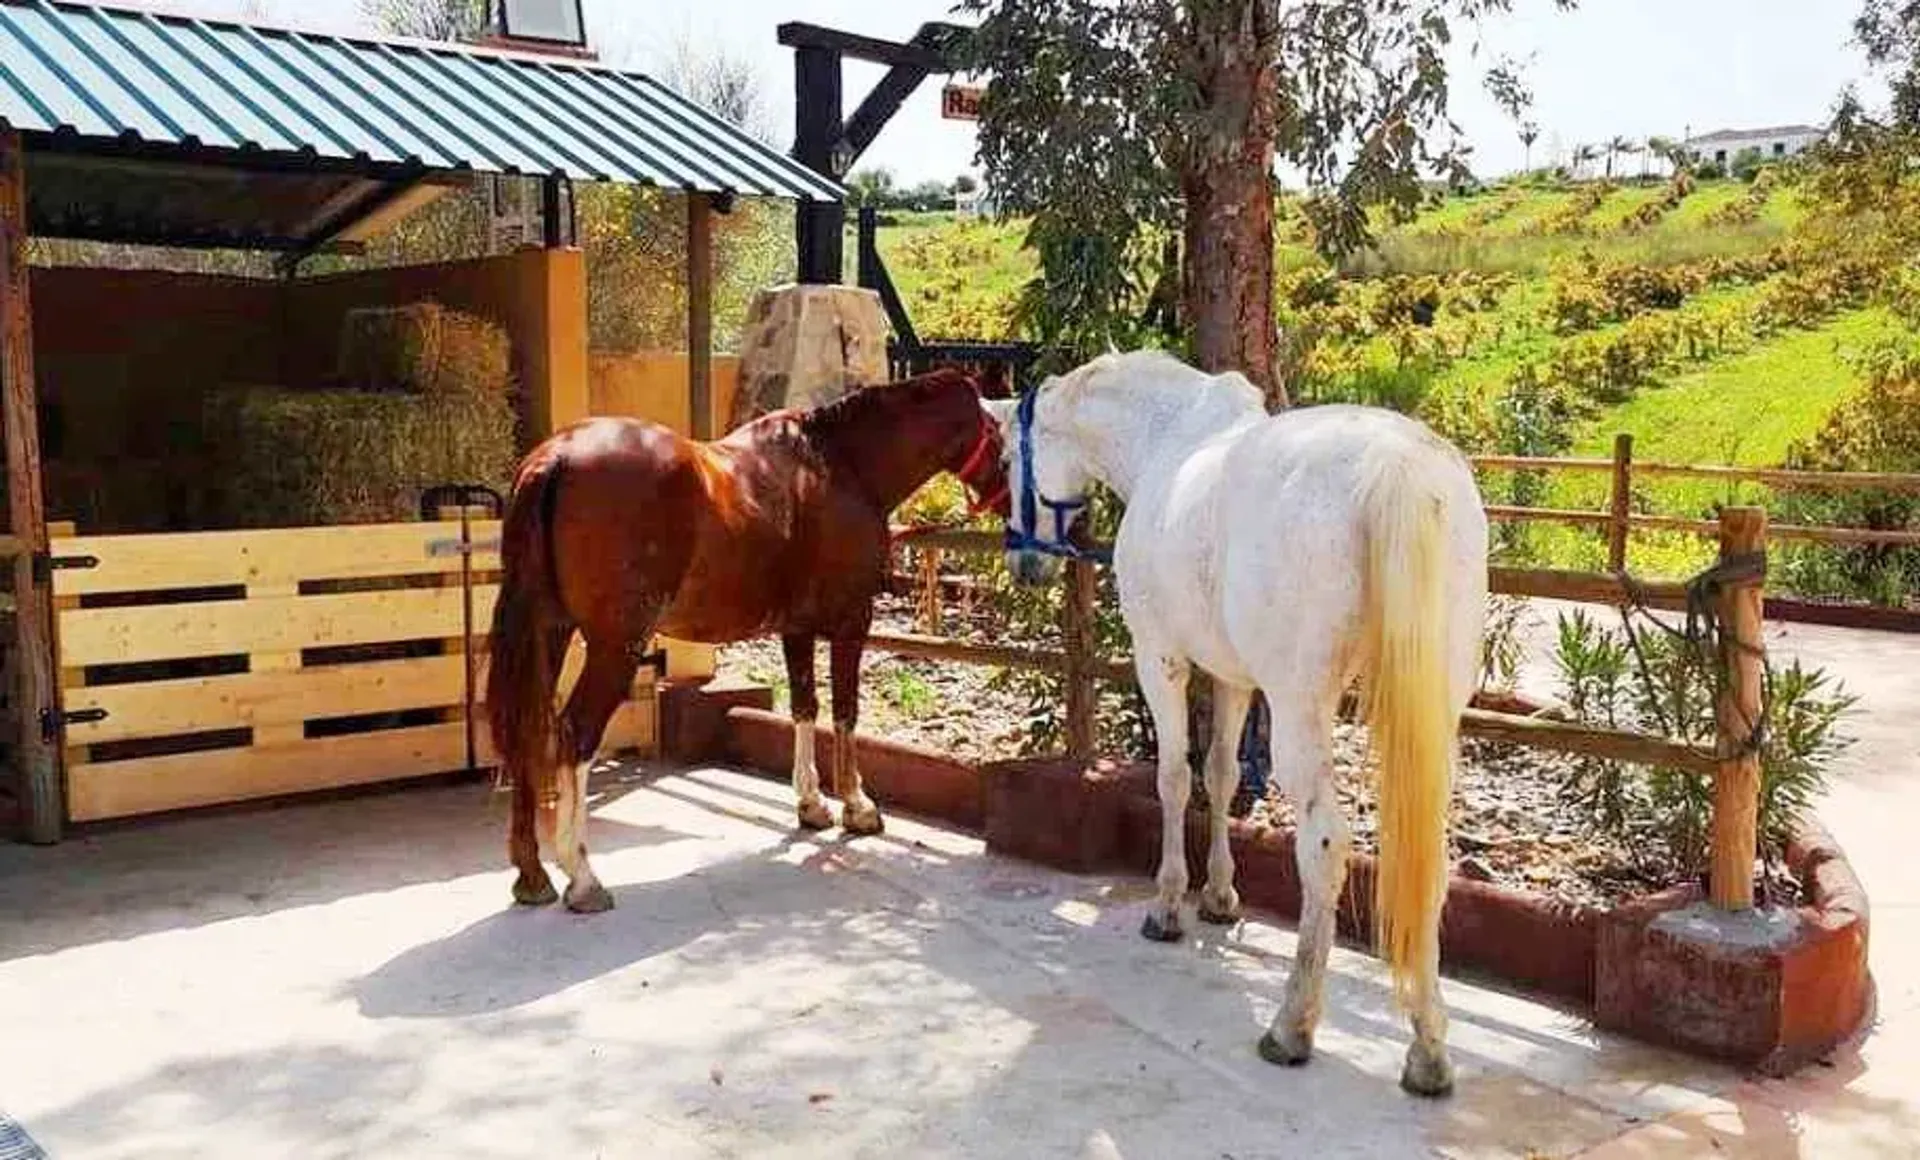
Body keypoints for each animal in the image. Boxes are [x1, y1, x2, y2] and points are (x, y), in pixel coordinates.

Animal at [487, 366, 1013, 910]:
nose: (1012, 499)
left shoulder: (797, 628)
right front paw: (858, 807)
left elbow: (805, 707)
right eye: (1000, 432)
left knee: (529, 729)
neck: (842, 465)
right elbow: (845, 711)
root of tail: (557, 457)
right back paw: (583, 877)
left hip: (548, 632)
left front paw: (811, 804)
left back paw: (533, 876)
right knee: (576, 733)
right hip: (615, 647)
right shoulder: (852, 622)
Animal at [983, 349, 1489, 1090]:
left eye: (1004, 460)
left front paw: (1168, 907)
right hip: (1435, 716)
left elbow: (1173, 780)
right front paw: (1220, 897)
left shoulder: (1162, 659)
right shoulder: (1231, 679)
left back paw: (1292, 1026)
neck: (1164, 438)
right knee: (1428, 856)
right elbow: (1220, 776)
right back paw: (1427, 1048)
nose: (1023, 562)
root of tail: (1395, 467)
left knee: (1326, 844)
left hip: (1302, 710)